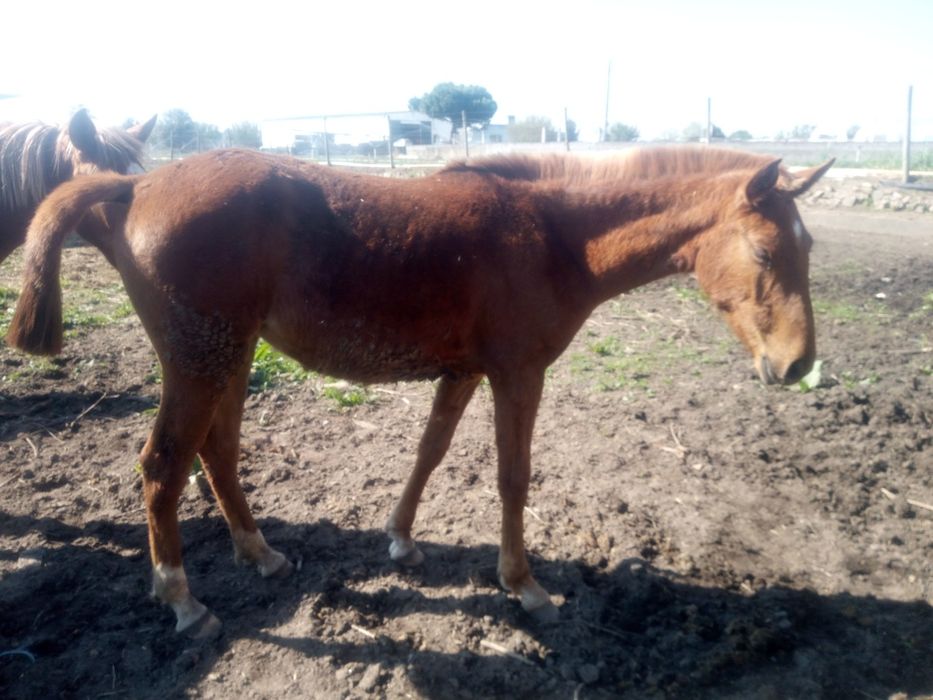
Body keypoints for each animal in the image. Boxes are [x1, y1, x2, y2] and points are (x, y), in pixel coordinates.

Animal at [7, 146, 833, 637]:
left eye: (807, 248)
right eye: (765, 251)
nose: (797, 366)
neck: (551, 235)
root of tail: (136, 182)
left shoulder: (462, 372)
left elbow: (429, 452)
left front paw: (400, 537)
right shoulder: (517, 374)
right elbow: (511, 478)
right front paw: (523, 585)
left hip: (228, 358)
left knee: (218, 453)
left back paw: (260, 553)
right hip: (202, 361)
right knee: (163, 466)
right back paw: (181, 597)